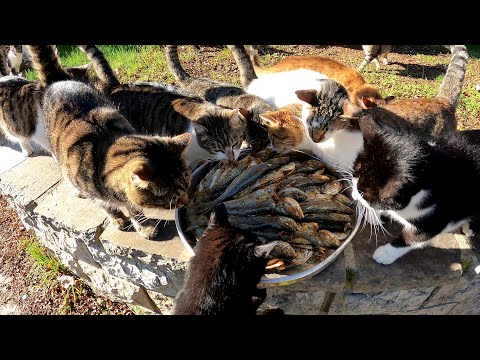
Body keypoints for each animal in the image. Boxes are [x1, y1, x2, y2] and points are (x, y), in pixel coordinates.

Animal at [28, 45, 192, 239]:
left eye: (188, 185)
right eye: (173, 198)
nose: (186, 202)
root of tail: (58, 79)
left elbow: (134, 208)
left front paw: (144, 226)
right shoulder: (96, 195)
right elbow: (106, 206)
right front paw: (119, 218)